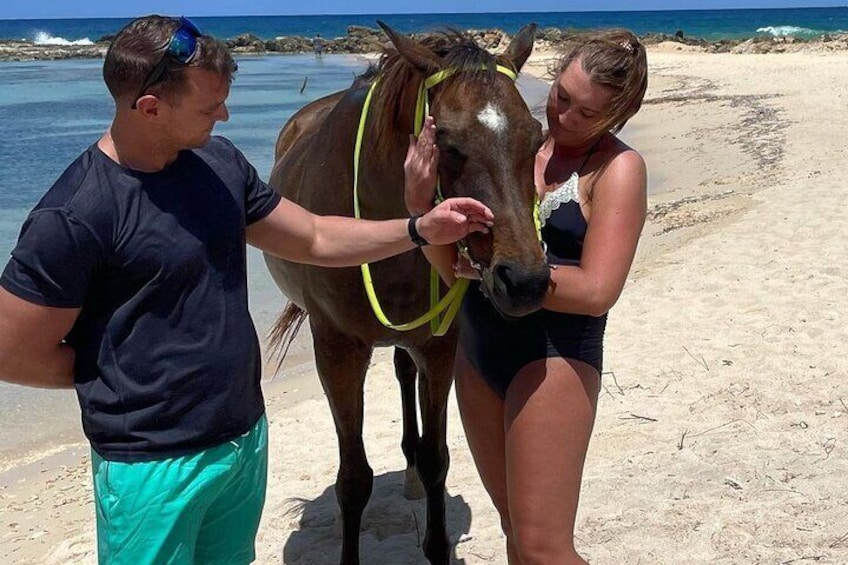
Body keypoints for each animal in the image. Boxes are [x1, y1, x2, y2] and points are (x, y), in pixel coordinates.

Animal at [264, 23, 548, 564]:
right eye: (448, 145)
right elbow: (354, 480)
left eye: (537, 137)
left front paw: (435, 540)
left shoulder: (438, 346)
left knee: (402, 374)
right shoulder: (337, 353)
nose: (525, 281)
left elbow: (437, 458)